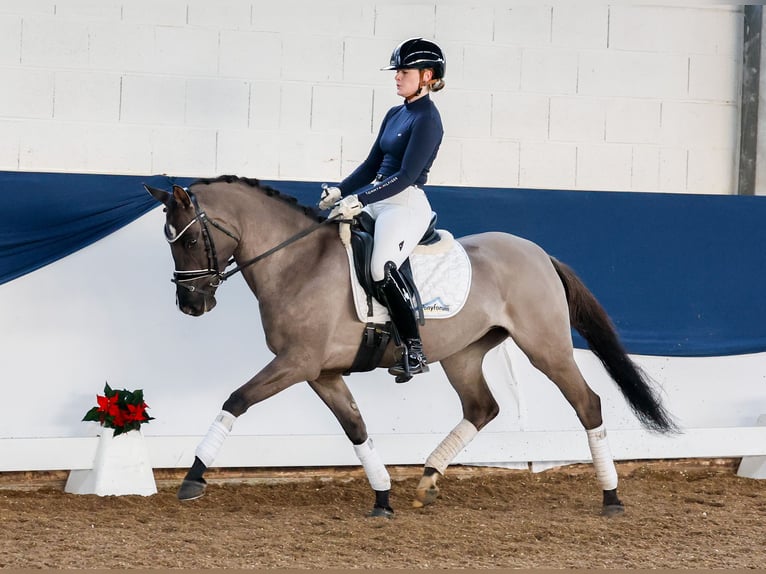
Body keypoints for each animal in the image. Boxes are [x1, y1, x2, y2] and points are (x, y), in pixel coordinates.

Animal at [146, 174, 680, 516]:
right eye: (169, 241)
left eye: (188, 241)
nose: (191, 305)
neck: (297, 262)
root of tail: (538, 253)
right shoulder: (322, 372)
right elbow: (356, 428)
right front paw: (383, 499)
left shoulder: (296, 363)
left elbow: (236, 399)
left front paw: (193, 478)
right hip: (464, 353)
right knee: (482, 408)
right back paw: (426, 481)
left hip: (546, 347)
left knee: (587, 403)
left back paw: (611, 498)